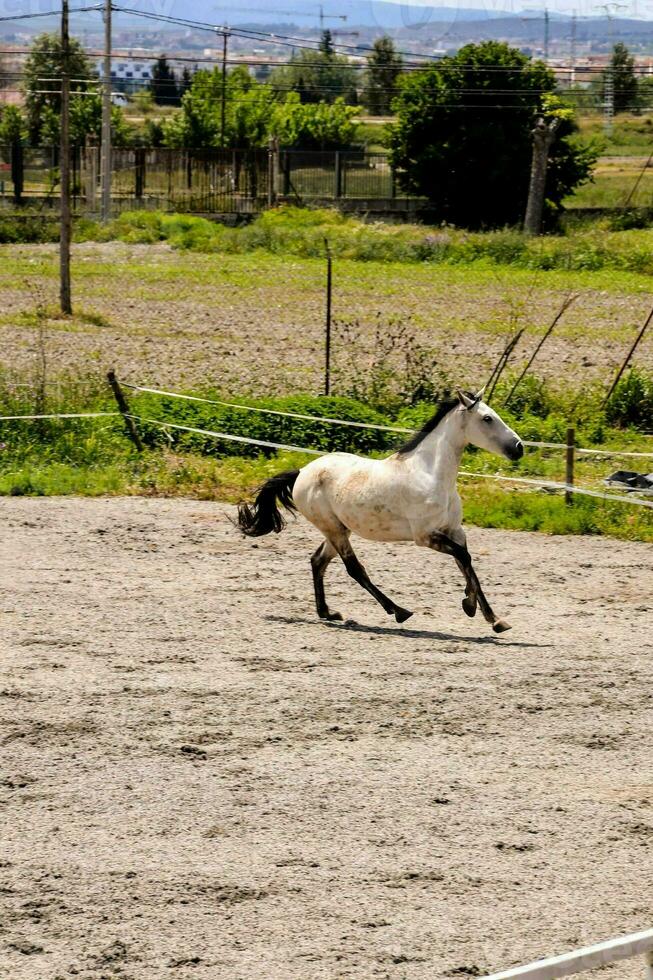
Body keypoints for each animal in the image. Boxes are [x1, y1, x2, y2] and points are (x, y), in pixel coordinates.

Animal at [237, 390, 524, 636]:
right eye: (487, 418)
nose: (519, 447)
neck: (430, 475)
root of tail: (302, 472)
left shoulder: (454, 531)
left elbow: (466, 563)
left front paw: (493, 618)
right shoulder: (425, 537)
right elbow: (464, 557)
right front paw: (470, 606)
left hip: (338, 530)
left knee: (318, 561)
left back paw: (328, 612)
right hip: (334, 529)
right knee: (354, 568)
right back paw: (398, 611)